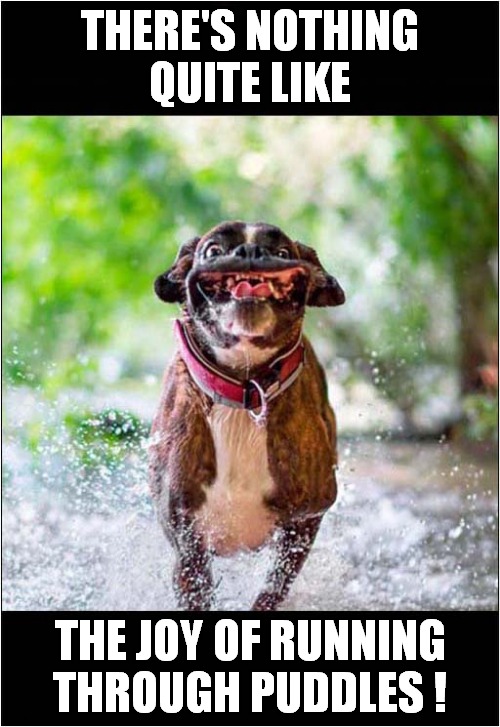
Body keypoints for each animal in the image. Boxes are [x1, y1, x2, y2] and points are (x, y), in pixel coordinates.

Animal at [148, 220, 344, 608]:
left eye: (282, 252)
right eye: (212, 250)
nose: (250, 252)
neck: (245, 388)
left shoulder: (306, 519)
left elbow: (273, 588)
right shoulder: (188, 545)